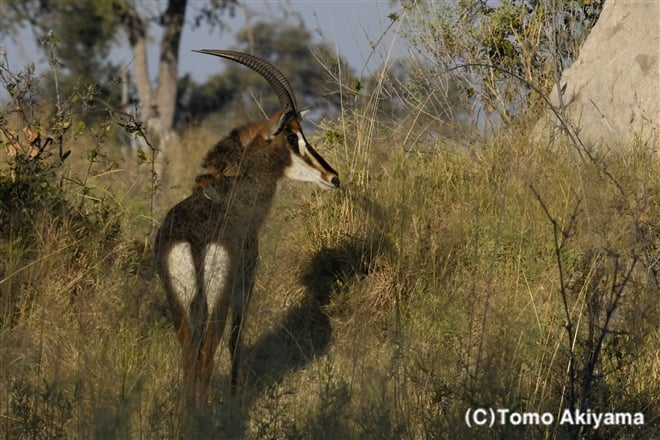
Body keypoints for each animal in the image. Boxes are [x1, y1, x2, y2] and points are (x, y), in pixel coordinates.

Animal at [155, 49, 340, 406]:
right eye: (293, 136)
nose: (332, 176)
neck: (228, 194)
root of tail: (194, 241)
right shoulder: (247, 278)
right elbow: (236, 338)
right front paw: (235, 395)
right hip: (218, 296)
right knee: (207, 352)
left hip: (178, 300)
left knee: (188, 353)